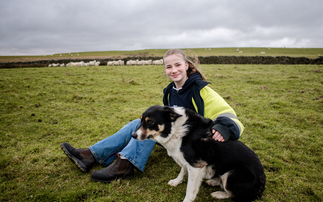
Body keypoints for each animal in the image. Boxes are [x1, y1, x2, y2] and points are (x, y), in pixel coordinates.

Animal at [132, 105, 266, 202]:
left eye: (150, 122)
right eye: (141, 120)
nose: (133, 135)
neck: (175, 129)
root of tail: (262, 184)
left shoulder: (196, 165)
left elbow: (190, 189)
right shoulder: (187, 160)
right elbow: (182, 171)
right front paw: (176, 181)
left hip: (232, 174)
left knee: (233, 193)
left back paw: (219, 194)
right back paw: (213, 182)